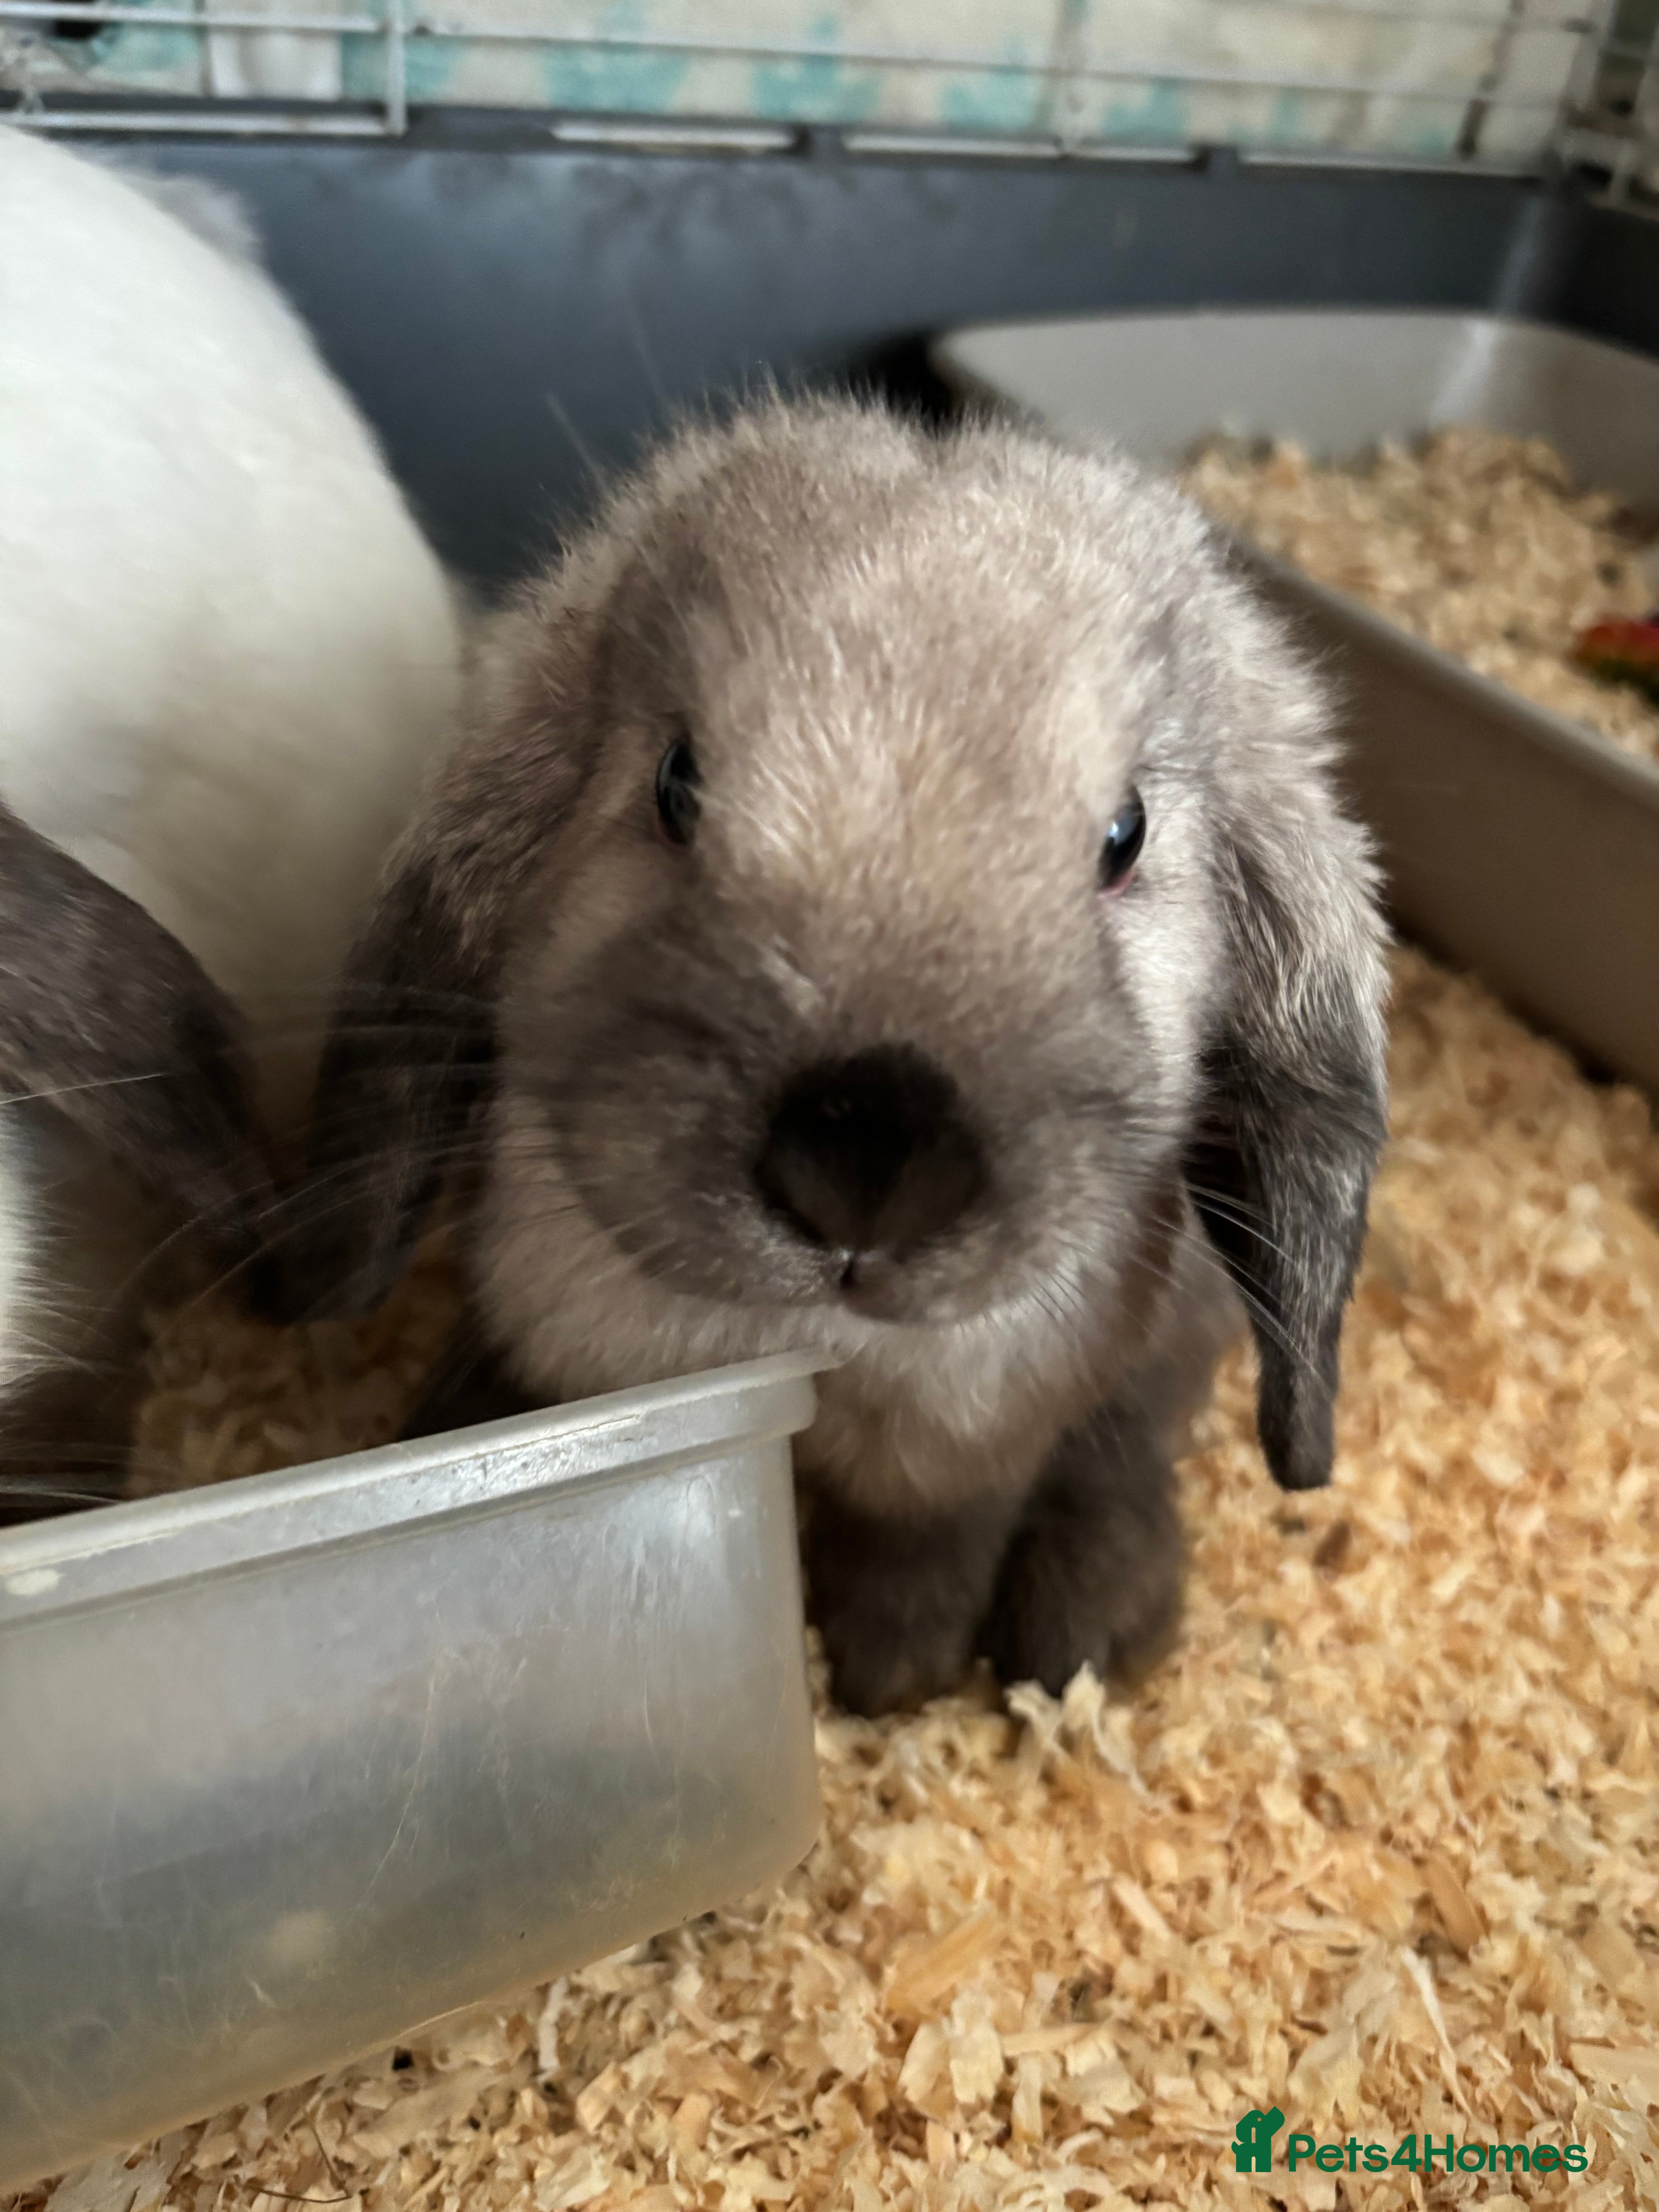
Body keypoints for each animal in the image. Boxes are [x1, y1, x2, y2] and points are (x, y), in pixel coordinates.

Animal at [260, 393, 1390, 1716]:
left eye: (1127, 834)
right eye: (676, 782)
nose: (865, 1156)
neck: (819, 1354)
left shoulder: (976, 1440)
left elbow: (931, 1547)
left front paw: (889, 1678)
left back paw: (1088, 1627)